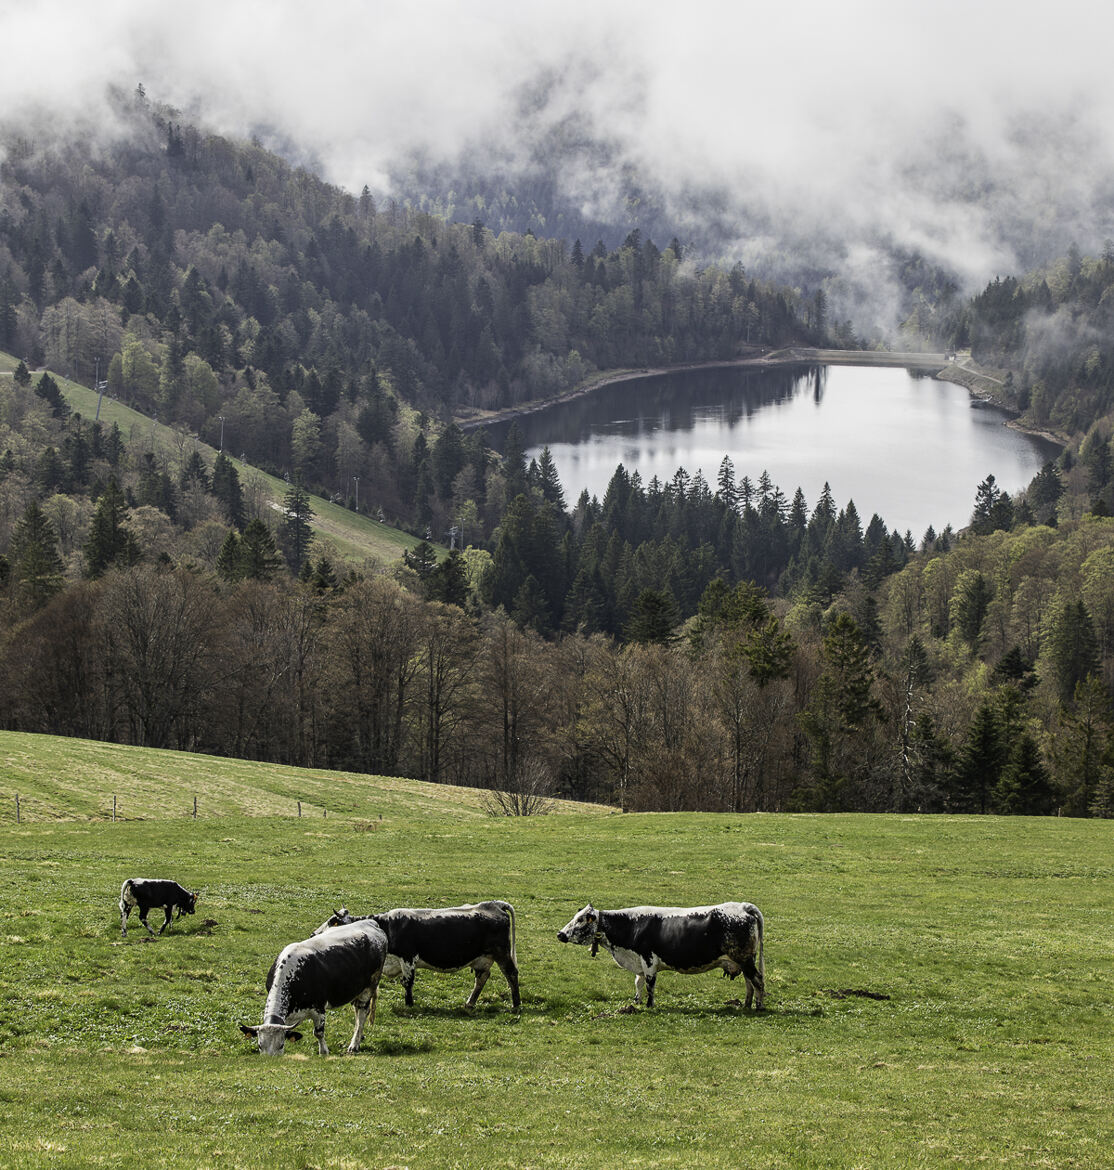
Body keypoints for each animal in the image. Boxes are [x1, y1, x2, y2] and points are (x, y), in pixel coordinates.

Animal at [238, 917, 386, 1057]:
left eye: (281, 1045)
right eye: (259, 1045)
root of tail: (370, 922)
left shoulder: (319, 1008)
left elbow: (318, 1033)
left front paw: (324, 1052)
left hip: (370, 986)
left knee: (362, 1014)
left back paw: (354, 1045)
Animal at [313, 898, 521, 1010]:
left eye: (333, 922)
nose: (314, 934)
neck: (388, 926)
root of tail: (494, 904)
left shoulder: (408, 958)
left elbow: (408, 982)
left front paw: (409, 1003)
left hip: (502, 953)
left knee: (511, 974)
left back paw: (516, 1004)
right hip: (482, 959)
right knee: (482, 978)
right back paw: (470, 1003)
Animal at [557, 898, 767, 1010]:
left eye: (581, 920)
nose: (560, 934)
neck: (631, 926)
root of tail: (743, 906)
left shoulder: (648, 960)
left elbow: (650, 984)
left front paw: (649, 1005)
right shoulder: (639, 963)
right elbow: (639, 982)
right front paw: (636, 1002)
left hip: (745, 959)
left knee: (758, 981)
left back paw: (758, 1006)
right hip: (743, 960)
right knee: (749, 982)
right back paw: (746, 1005)